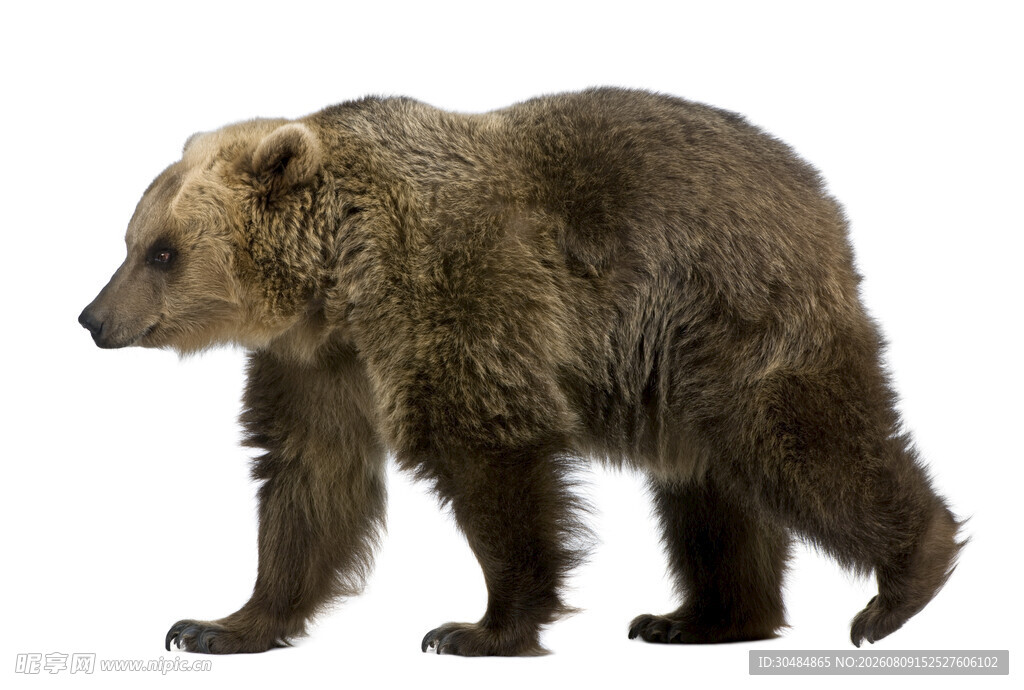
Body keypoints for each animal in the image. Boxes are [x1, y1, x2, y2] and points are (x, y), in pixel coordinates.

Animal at [79, 87, 963, 656]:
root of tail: (818, 195)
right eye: (132, 240)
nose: (92, 319)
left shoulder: (459, 297)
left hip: (728, 315)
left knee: (802, 445)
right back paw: (701, 617)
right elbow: (309, 474)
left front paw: (476, 628)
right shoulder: (320, 362)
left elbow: (490, 458)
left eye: (163, 251)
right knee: (710, 489)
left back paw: (903, 583)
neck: (340, 279)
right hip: (680, 369)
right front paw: (221, 624)